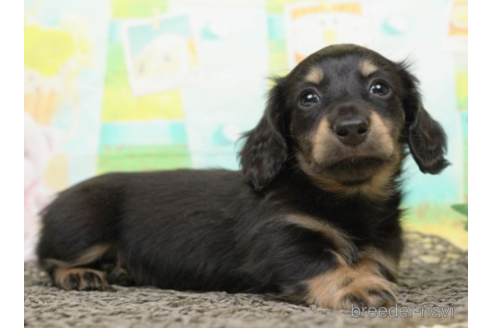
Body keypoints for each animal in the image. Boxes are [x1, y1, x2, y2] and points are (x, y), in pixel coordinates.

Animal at [36, 44, 448, 310]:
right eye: (308, 97)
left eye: (380, 88)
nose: (350, 127)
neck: (344, 197)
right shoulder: (279, 237)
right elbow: (322, 260)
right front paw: (358, 286)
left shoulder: (383, 246)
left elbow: (369, 261)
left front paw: (364, 274)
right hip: (84, 225)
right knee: (47, 259)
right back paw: (81, 274)